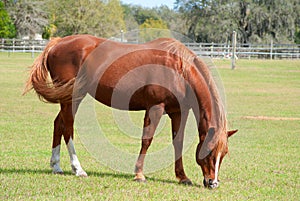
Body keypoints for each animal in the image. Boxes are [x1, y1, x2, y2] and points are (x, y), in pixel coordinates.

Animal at [24, 34, 237, 188]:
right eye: (210, 151)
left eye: (224, 153)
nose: (213, 183)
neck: (178, 69)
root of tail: (58, 42)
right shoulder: (155, 108)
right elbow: (147, 140)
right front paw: (139, 174)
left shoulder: (178, 112)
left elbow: (178, 142)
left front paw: (182, 177)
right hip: (72, 98)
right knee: (67, 126)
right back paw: (78, 168)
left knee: (58, 123)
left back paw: (56, 165)